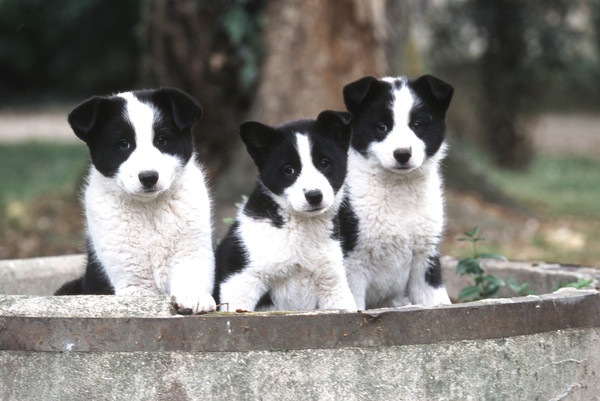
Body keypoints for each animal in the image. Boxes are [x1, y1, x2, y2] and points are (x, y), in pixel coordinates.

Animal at [54, 86, 216, 312]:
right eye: (124, 145)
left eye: (161, 140)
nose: (148, 177)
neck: (149, 209)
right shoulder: (132, 278)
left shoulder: (191, 251)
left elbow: (192, 275)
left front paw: (195, 298)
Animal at [214, 111, 356, 310]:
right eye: (288, 170)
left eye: (324, 163)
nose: (314, 196)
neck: (300, 226)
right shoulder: (241, 280)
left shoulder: (332, 283)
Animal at [340, 74, 452, 310]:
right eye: (382, 127)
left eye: (418, 125)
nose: (402, 154)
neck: (399, 188)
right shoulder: (352, 263)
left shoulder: (425, 258)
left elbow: (438, 302)